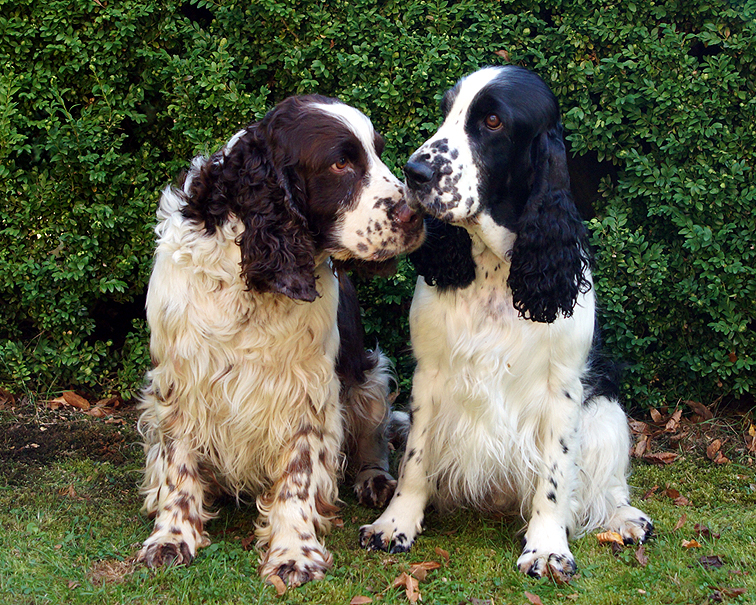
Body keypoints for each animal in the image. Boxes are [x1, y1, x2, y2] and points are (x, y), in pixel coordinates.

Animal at [136, 95, 426, 584]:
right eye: (341, 162)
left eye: (379, 152)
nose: (419, 214)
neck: (250, 283)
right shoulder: (178, 379)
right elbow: (177, 466)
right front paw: (172, 535)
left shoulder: (306, 389)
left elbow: (299, 475)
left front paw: (294, 551)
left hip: (369, 377)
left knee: (374, 439)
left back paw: (375, 481)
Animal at [358, 66, 648, 576]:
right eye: (447, 109)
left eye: (492, 121)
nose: (414, 172)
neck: (497, 268)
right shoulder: (430, 373)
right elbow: (415, 459)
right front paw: (395, 523)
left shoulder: (563, 388)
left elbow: (555, 476)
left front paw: (547, 547)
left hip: (607, 411)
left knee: (608, 484)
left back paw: (625, 518)